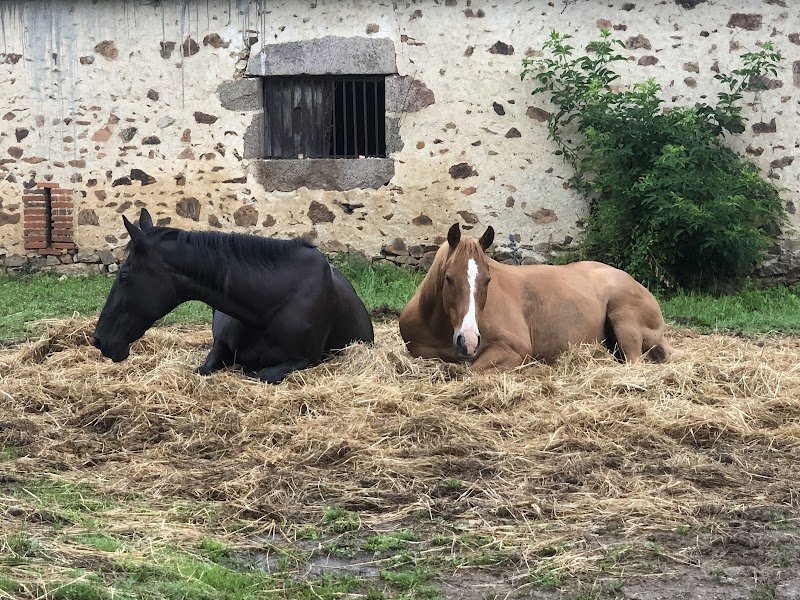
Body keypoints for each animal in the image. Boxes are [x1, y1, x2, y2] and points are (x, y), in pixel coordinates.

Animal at [93, 208, 374, 383]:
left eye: (124, 276)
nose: (99, 340)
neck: (267, 308)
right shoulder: (218, 348)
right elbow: (205, 368)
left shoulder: (304, 360)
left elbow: (263, 374)